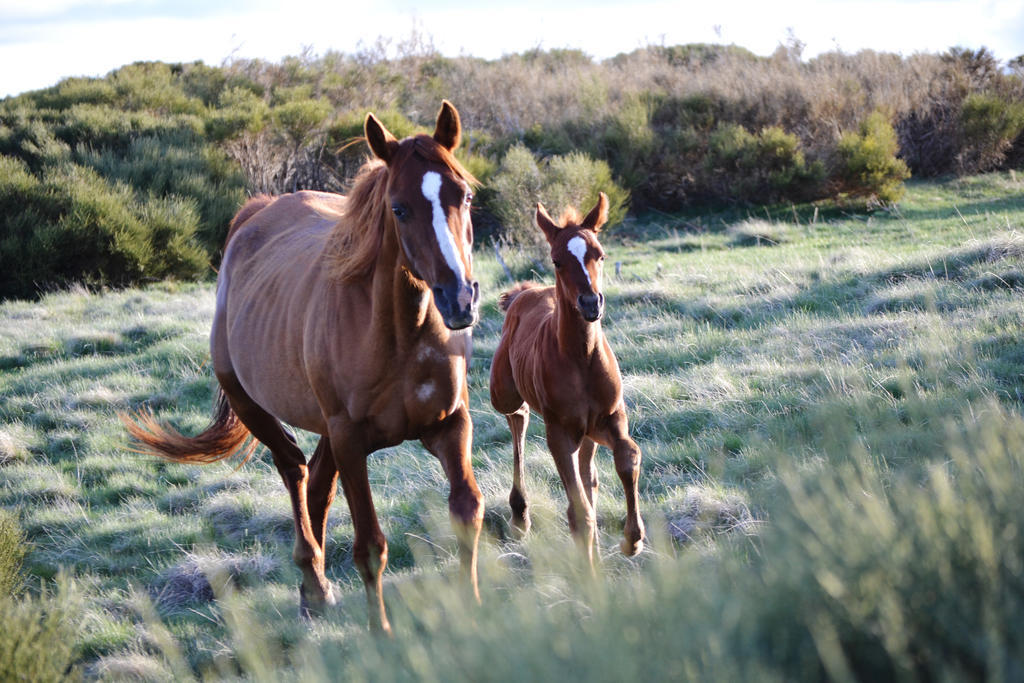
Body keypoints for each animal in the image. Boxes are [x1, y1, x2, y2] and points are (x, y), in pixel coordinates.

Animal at [123, 101, 483, 634]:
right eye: (399, 208)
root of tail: (257, 212)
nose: (458, 299)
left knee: (316, 483)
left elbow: (466, 511)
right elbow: (370, 545)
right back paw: (312, 582)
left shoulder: (449, 425)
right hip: (254, 406)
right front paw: (381, 633)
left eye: (465, 196)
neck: (399, 335)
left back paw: (315, 589)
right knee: (294, 470)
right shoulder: (351, 439)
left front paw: (476, 612)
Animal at [491, 192, 643, 565]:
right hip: (503, 393)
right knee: (517, 417)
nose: (590, 303)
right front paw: (590, 572)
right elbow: (579, 513)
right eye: (557, 260)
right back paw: (519, 514)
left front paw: (632, 540)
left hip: (587, 431)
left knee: (590, 475)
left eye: (600, 254)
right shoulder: (559, 433)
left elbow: (628, 456)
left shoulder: (611, 418)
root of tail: (525, 292)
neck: (581, 359)